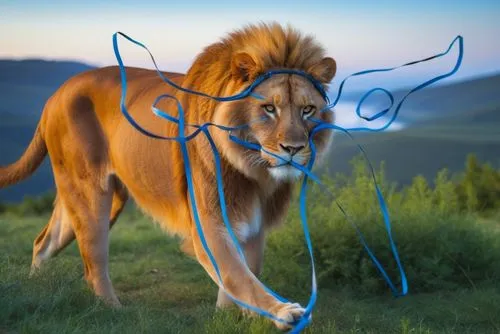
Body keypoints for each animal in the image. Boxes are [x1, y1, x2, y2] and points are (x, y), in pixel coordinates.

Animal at [0, 21, 336, 332]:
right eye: (269, 108)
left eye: (307, 110)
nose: (293, 148)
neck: (254, 171)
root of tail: (56, 94)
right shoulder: (210, 223)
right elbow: (239, 275)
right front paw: (283, 311)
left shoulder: (254, 226)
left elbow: (244, 275)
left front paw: (231, 317)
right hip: (90, 194)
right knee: (94, 262)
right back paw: (113, 311)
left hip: (93, 200)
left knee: (43, 242)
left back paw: (37, 288)